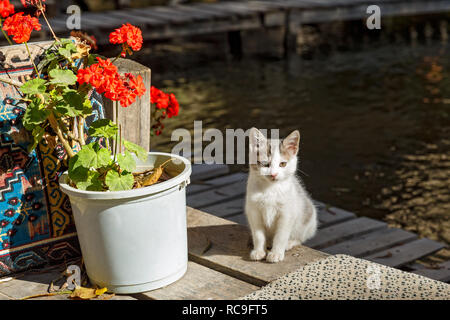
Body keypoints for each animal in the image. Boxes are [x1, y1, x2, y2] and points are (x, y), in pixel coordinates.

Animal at [244, 127, 318, 262]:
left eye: (282, 164)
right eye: (265, 164)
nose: (273, 174)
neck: (270, 189)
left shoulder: (287, 213)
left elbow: (281, 235)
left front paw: (276, 253)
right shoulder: (253, 211)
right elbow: (258, 234)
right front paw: (259, 251)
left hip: (308, 219)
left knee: (301, 236)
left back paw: (290, 242)